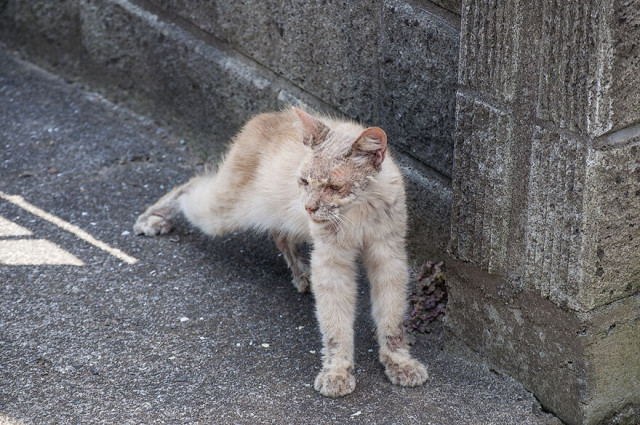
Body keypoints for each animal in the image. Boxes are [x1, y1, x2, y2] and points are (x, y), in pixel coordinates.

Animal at [132, 107, 428, 398]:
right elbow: (335, 324)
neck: (359, 210)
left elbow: (391, 317)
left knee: (279, 234)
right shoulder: (331, 263)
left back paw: (301, 276)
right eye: (304, 181)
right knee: (191, 185)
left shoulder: (389, 258)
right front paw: (336, 372)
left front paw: (399, 362)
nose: (310, 206)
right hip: (225, 212)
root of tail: (269, 115)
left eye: (333, 187)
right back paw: (154, 217)